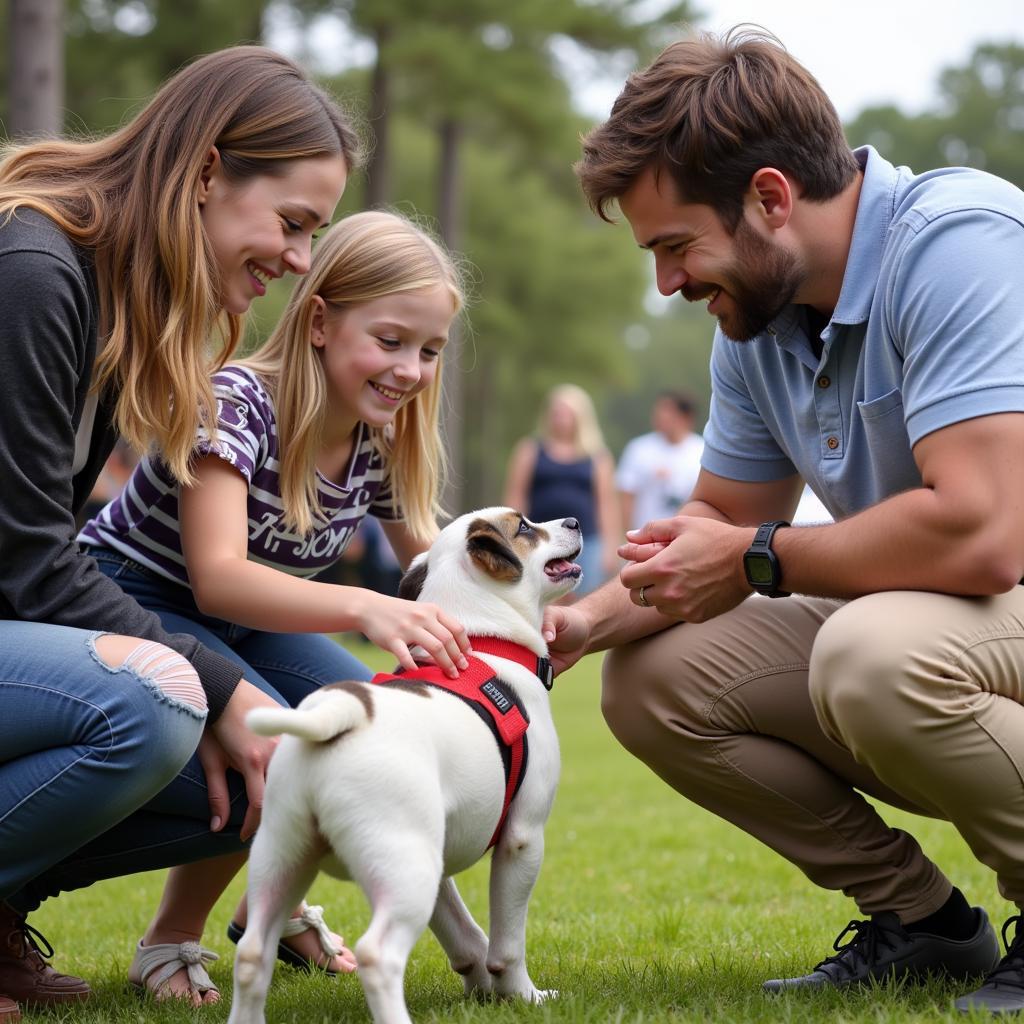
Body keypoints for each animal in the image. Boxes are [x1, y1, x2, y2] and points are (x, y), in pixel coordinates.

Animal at [225, 505, 581, 1024]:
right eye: (523, 527)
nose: (574, 521)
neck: (482, 641)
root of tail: (342, 715)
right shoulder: (522, 838)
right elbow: (506, 944)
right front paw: (521, 995)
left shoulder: (440, 862)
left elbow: (464, 936)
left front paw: (481, 990)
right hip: (403, 866)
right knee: (378, 956)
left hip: (283, 858)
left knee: (253, 954)